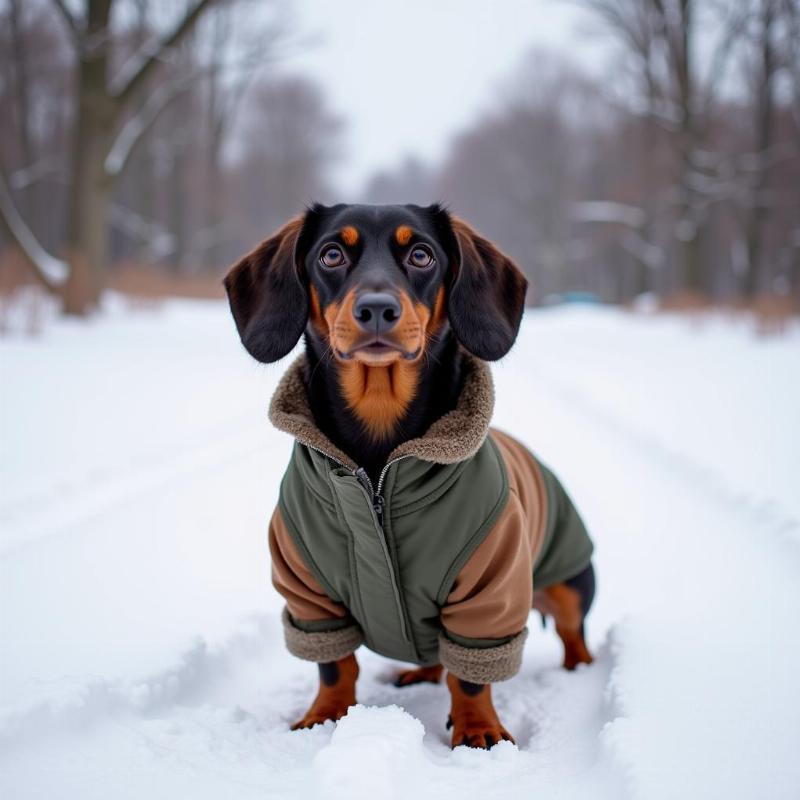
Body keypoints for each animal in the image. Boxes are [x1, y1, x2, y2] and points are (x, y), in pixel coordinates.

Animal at [225, 203, 592, 748]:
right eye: (330, 254)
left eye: (421, 255)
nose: (377, 308)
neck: (379, 462)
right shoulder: (307, 592)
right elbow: (335, 665)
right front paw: (324, 715)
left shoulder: (490, 590)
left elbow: (471, 675)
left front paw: (478, 728)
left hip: (570, 581)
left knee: (572, 631)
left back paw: (581, 673)